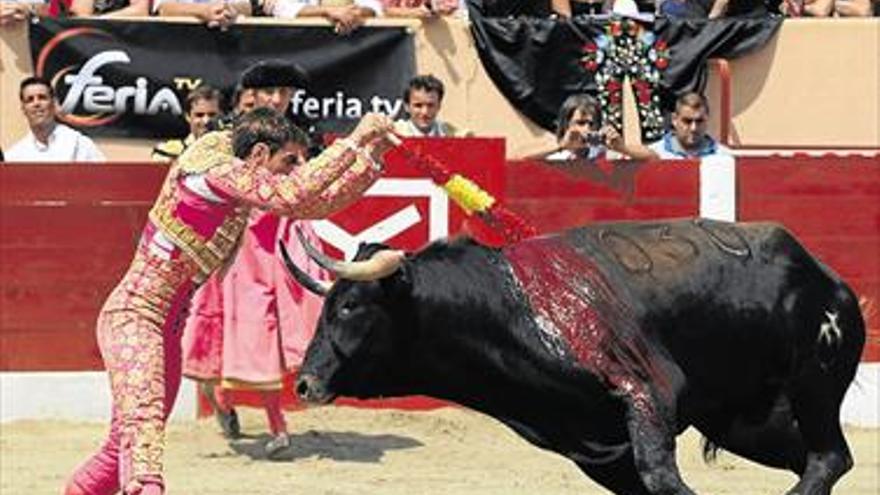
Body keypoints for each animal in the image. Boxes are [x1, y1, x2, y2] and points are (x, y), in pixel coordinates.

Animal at [284, 221, 868, 495]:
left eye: (350, 305)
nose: (305, 383)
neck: (510, 308)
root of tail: (831, 280)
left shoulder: (649, 392)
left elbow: (662, 477)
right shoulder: (596, 451)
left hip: (813, 386)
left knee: (828, 458)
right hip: (748, 422)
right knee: (816, 459)